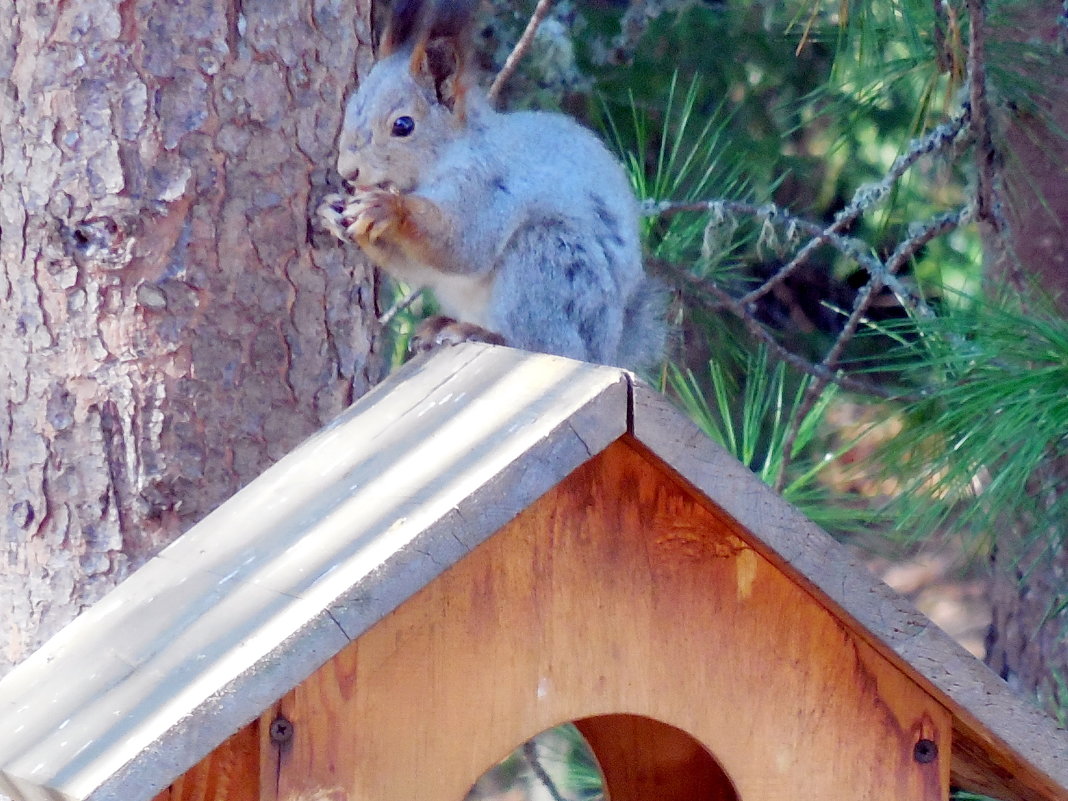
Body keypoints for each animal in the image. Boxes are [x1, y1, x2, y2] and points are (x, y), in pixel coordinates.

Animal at [316, 0, 662, 369]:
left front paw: (388, 209)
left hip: (553, 264)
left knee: (550, 345)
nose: (348, 171)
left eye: (403, 125)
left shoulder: (489, 186)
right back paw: (441, 325)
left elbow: (464, 244)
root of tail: (608, 351)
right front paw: (330, 210)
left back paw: (482, 333)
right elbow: (416, 266)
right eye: (351, 107)